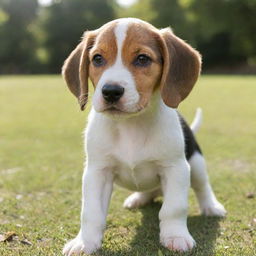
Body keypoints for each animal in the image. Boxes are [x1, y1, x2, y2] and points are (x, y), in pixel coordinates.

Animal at [62, 17, 226, 254]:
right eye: (97, 58)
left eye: (142, 59)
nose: (111, 91)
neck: (131, 125)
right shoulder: (97, 172)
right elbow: (90, 213)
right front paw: (84, 242)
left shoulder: (175, 168)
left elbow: (174, 208)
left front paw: (175, 236)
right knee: (149, 189)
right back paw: (139, 198)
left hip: (195, 164)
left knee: (202, 186)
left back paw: (211, 206)